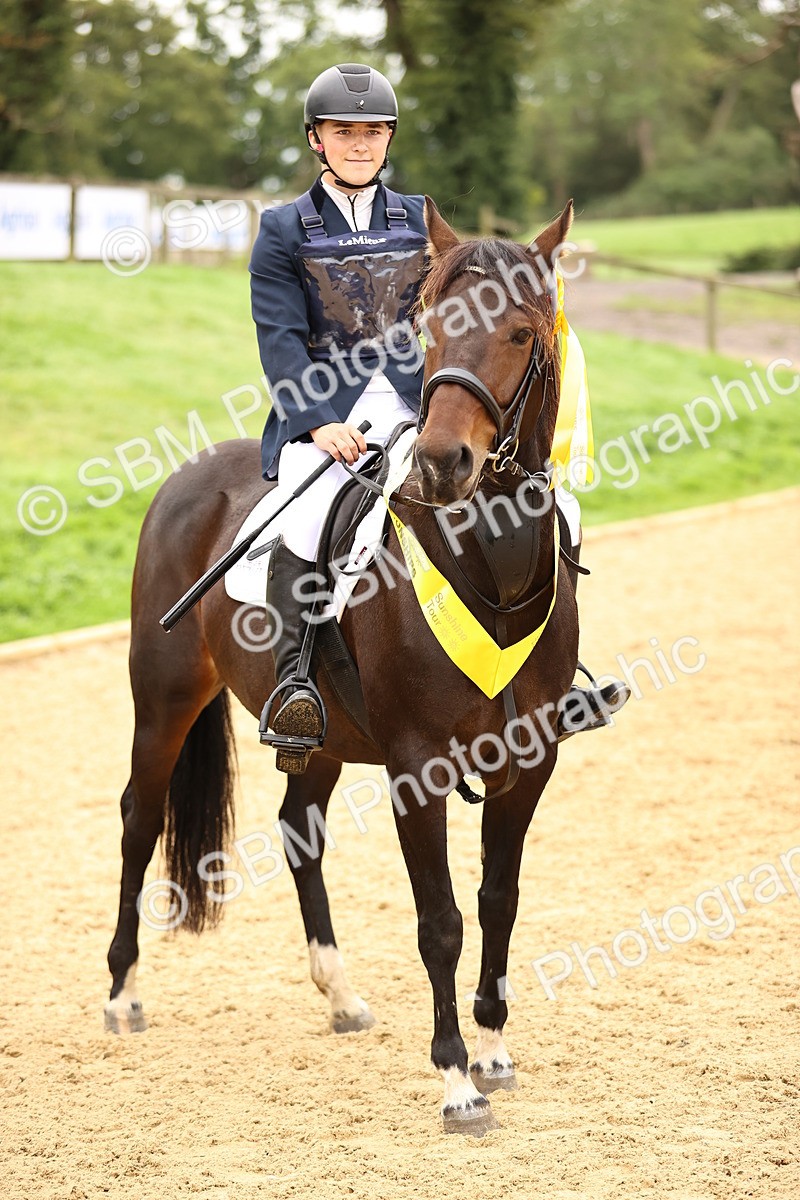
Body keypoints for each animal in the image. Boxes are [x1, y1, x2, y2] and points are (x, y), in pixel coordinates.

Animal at [105, 198, 579, 1136]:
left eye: (519, 331)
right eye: (432, 327)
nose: (439, 464)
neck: (494, 567)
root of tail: (188, 476)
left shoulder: (529, 761)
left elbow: (498, 900)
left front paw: (495, 1047)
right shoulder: (416, 765)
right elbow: (440, 920)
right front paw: (456, 1080)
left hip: (316, 738)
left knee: (298, 831)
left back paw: (340, 994)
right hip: (165, 695)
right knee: (141, 817)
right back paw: (122, 995)